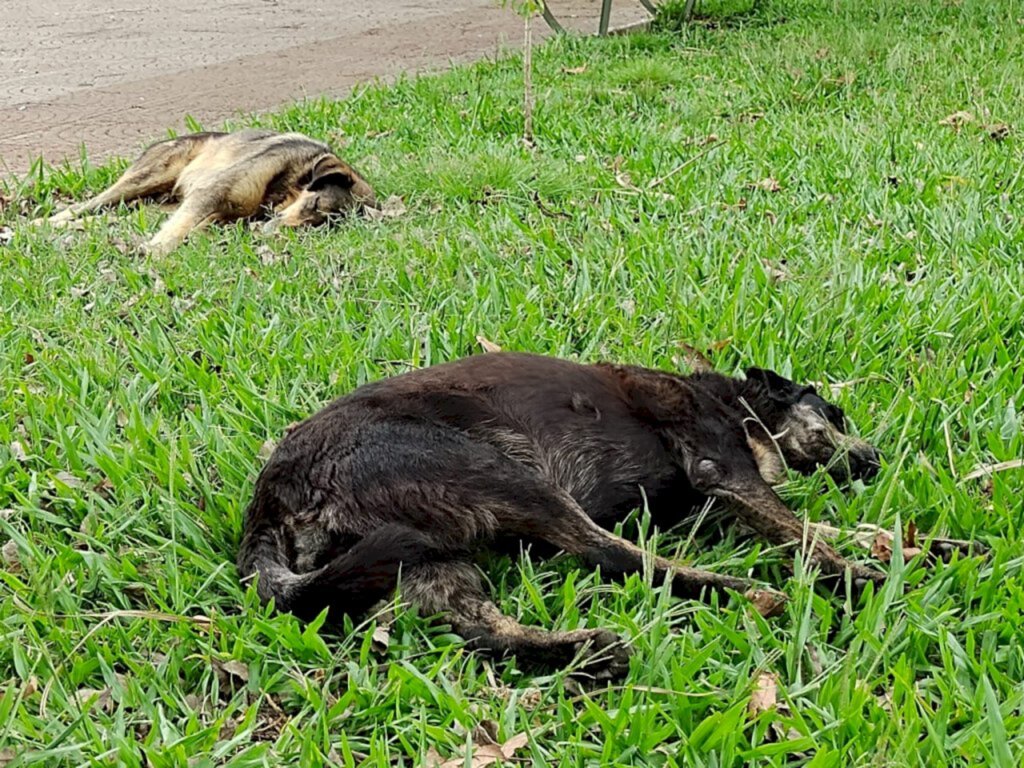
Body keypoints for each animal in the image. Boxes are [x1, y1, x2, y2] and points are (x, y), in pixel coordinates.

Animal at [37, 129, 380, 256]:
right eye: (315, 204)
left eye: (320, 226)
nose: (268, 232)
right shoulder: (209, 195)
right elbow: (173, 235)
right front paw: (153, 252)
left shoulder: (218, 214)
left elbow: (192, 229)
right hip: (148, 175)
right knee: (87, 205)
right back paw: (44, 224)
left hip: (156, 204)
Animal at [237, 354, 974, 679]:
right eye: (835, 415)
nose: (873, 458)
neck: (734, 403)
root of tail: (274, 490)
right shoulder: (722, 470)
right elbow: (805, 535)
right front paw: (862, 576)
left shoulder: (721, 504)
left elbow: (825, 528)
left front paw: (927, 547)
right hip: (504, 474)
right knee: (614, 555)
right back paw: (746, 594)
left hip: (425, 551)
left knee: (478, 629)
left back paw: (585, 650)